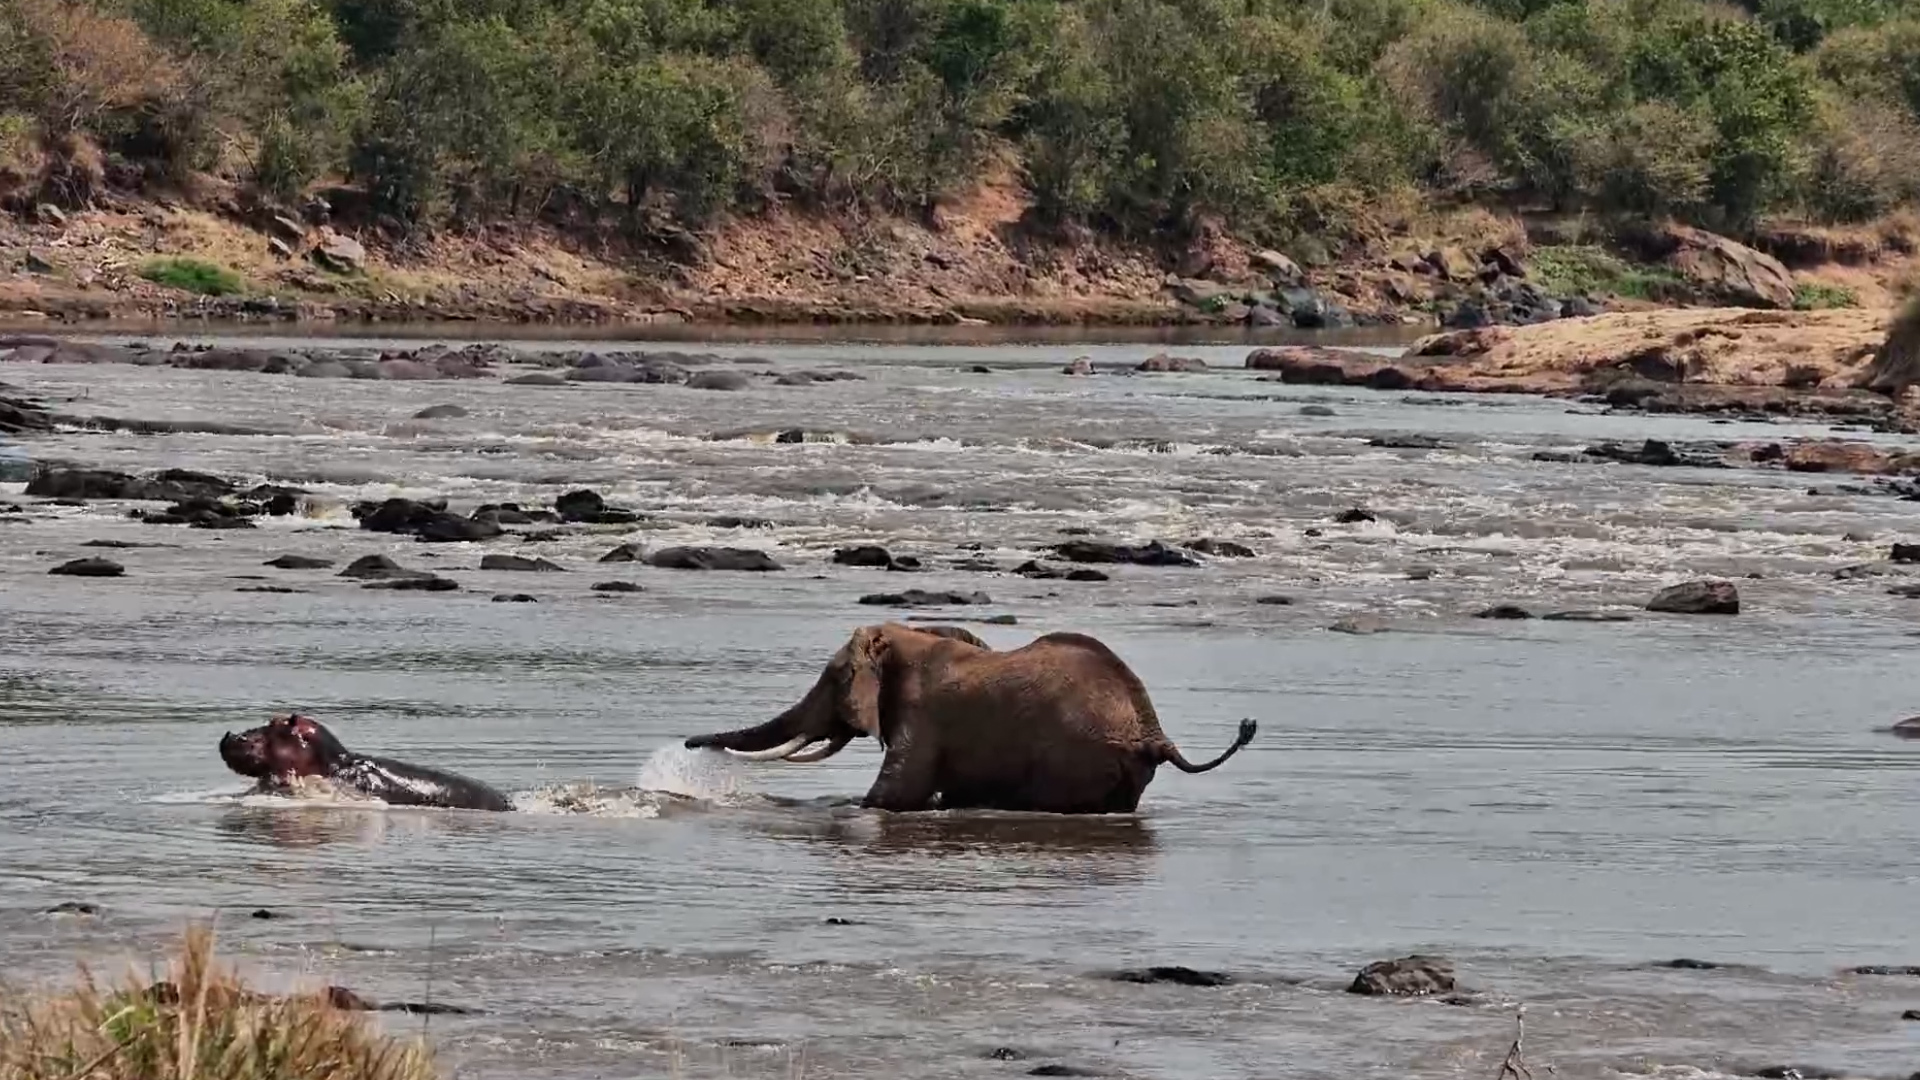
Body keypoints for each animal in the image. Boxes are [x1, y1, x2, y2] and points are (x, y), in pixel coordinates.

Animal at [682, 621, 1257, 814]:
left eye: (834, 678)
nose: (686, 745)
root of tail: (1153, 733)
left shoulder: (923, 714)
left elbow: (894, 796)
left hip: (1076, 756)